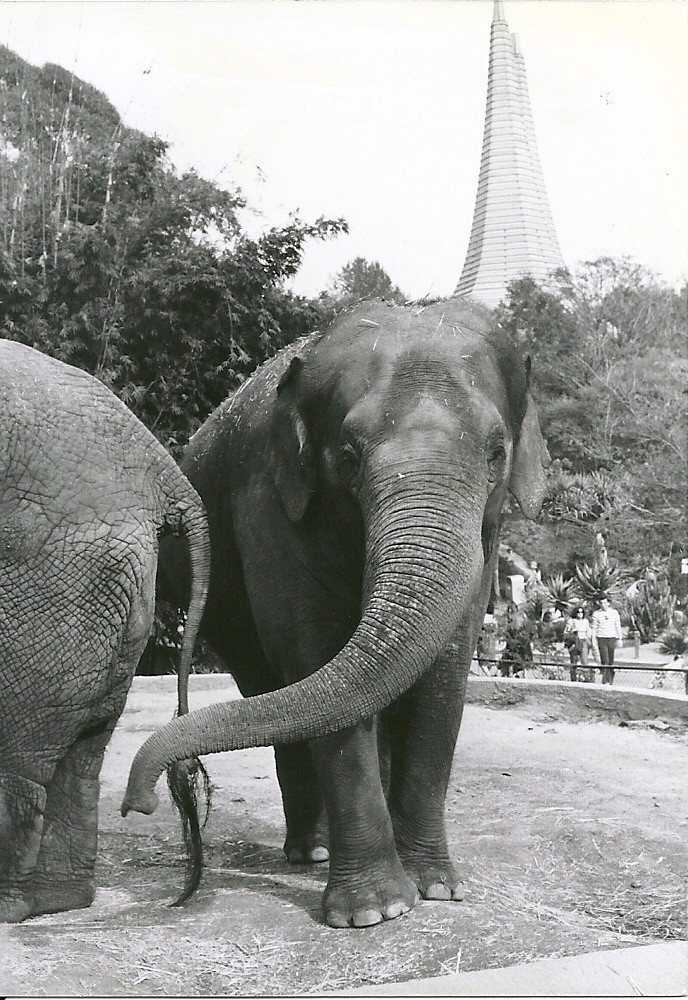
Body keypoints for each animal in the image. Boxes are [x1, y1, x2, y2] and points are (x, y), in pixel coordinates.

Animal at [122, 297, 549, 928]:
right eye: (348, 458)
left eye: (497, 453)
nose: (140, 804)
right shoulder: (273, 506)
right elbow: (315, 654)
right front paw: (375, 912)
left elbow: (446, 669)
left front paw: (437, 889)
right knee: (272, 690)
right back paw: (313, 852)